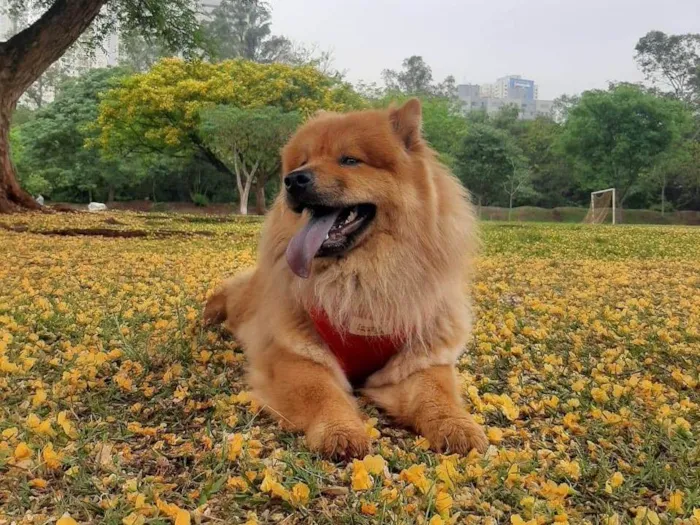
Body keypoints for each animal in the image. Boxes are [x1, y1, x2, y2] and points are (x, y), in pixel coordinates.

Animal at [202, 98, 486, 458]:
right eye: (304, 161)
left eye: (349, 160)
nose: (293, 180)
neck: (360, 280)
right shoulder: (297, 355)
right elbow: (323, 393)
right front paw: (340, 431)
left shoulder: (418, 360)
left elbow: (437, 395)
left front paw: (457, 426)